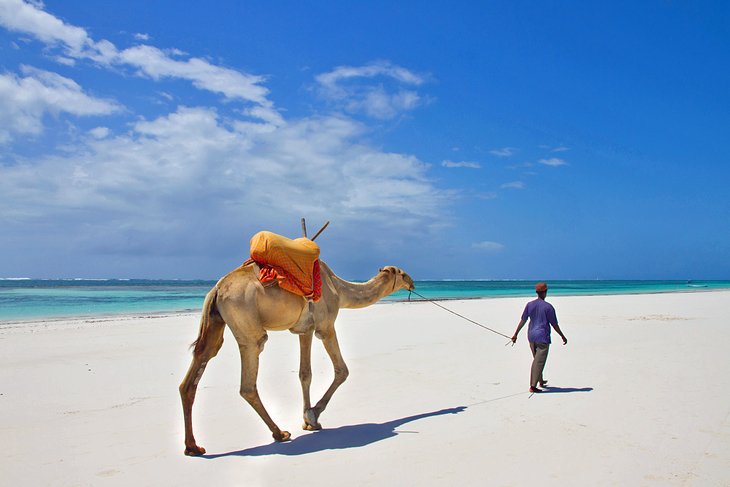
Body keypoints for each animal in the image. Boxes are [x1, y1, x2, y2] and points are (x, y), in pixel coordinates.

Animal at [178, 262, 412, 456]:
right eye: (401, 272)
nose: (411, 281)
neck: (339, 289)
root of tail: (216, 290)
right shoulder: (325, 326)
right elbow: (342, 370)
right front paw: (313, 415)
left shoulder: (305, 329)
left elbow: (304, 373)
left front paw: (309, 421)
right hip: (246, 324)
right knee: (248, 381)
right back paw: (280, 433)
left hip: (215, 322)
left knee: (198, 366)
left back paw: (193, 447)